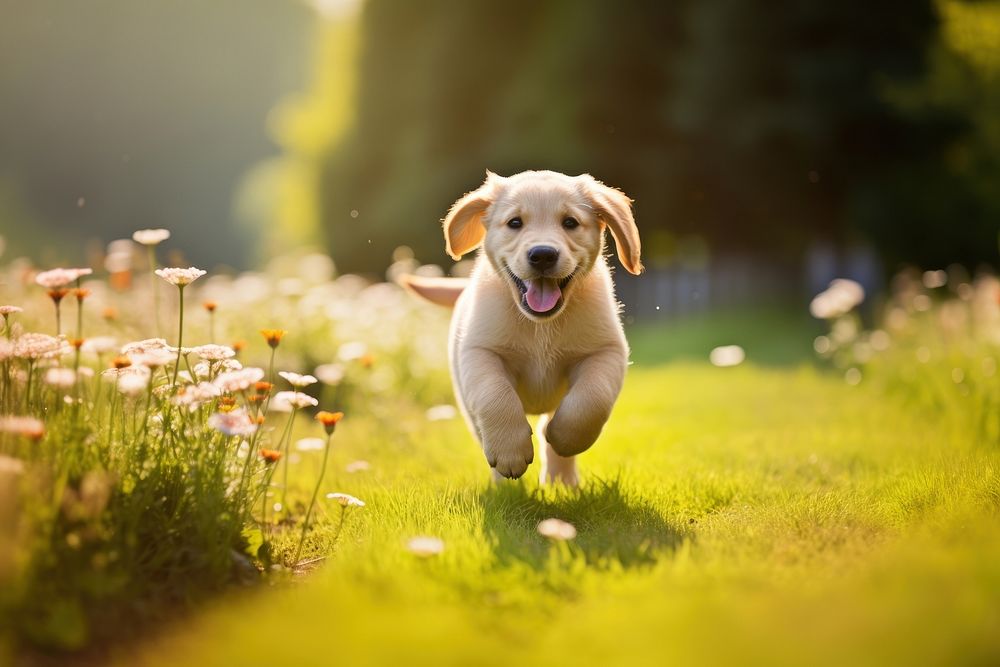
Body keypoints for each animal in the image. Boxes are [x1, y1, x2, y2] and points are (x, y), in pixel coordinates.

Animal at [404, 170, 644, 488]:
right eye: (515, 223)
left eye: (570, 222)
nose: (542, 255)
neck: (539, 326)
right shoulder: (480, 352)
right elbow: (495, 396)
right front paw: (510, 453)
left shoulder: (605, 351)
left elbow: (592, 399)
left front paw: (566, 438)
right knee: (482, 431)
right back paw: (504, 486)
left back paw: (562, 482)